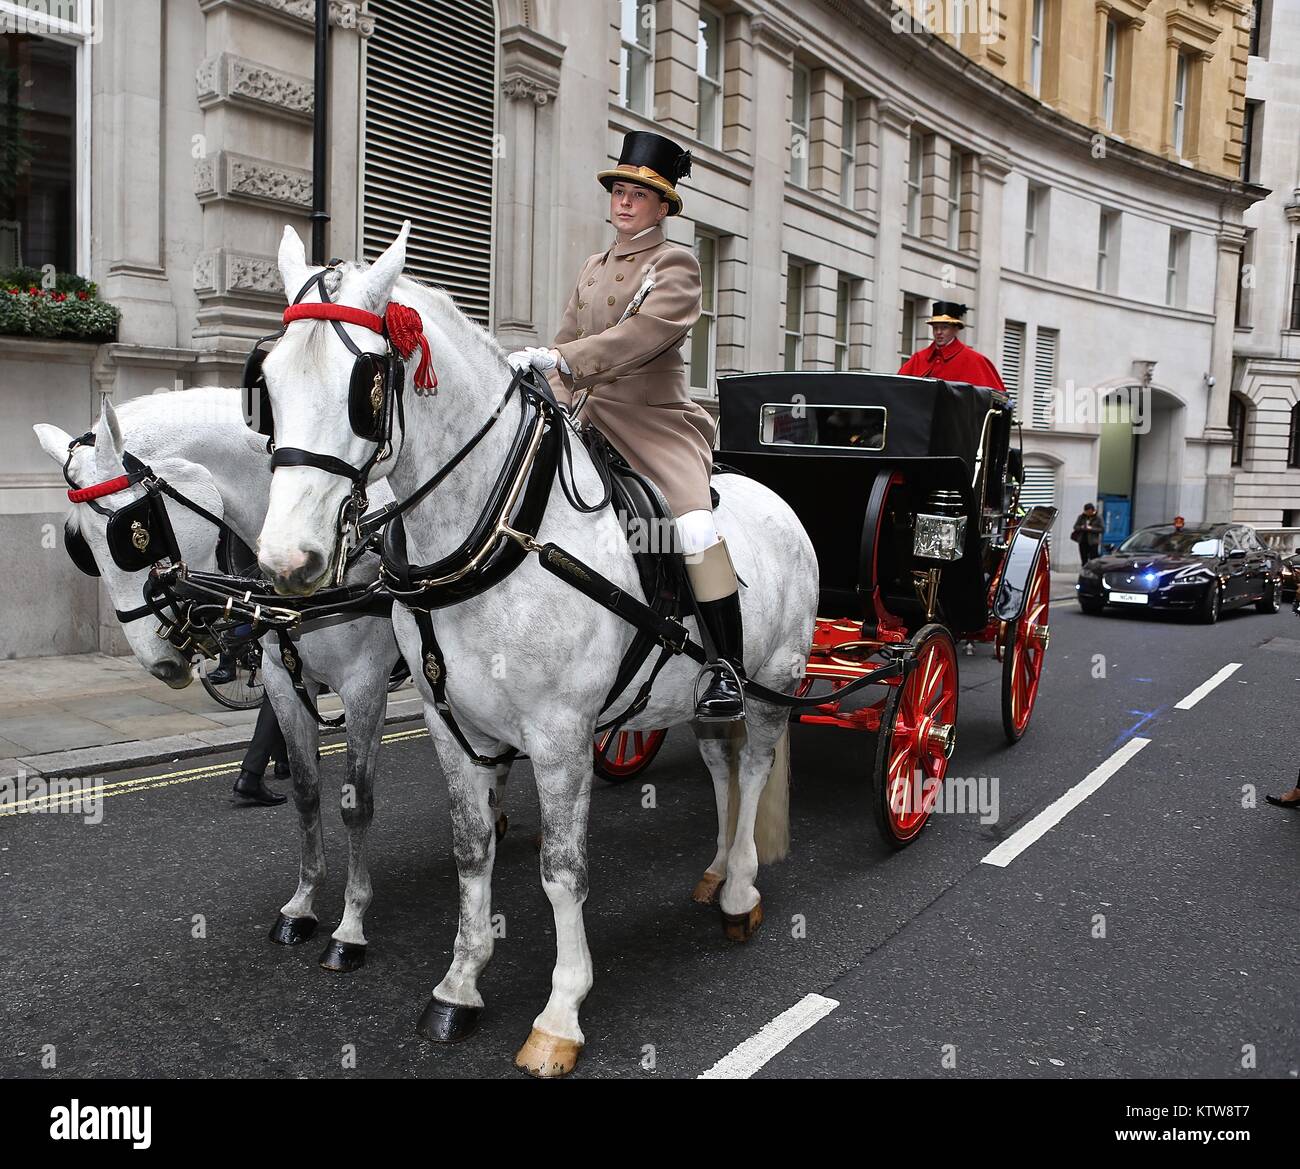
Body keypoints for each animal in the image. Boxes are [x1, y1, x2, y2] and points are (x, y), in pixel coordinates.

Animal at [31, 392, 447, 967]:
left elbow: (356, 804)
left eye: (134, 532)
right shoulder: (282, 681)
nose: (162, 663)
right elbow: (306, 793)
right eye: (79, 546)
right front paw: (301, 906)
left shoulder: (364, 686)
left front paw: (351, 926)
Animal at [257, 223, 816, 1081]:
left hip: (771, 680)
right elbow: (471, 849)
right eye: (268, 381)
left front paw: (560, 1014)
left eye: (365, 384)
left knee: (751, 769)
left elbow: (561, 870)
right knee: (722, 769)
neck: (504, 526)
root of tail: (778, 499)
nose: (289, 563)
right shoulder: (456, 726)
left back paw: (740, 893)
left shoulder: (559, 736)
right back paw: (721, 867)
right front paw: (459, 985)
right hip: (698, 696)